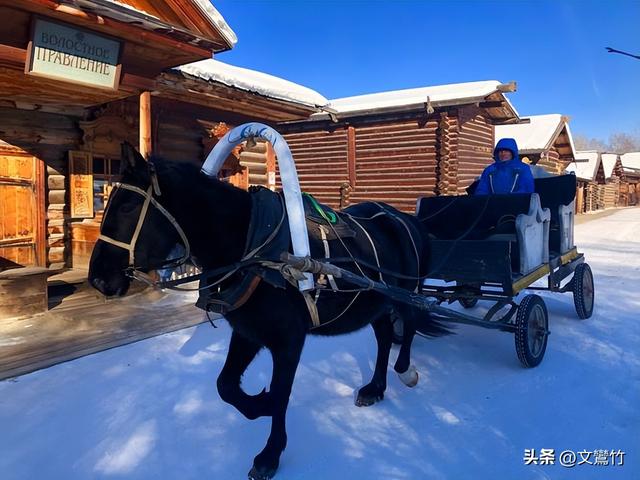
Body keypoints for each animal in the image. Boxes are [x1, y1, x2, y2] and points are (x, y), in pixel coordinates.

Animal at [89, 145, 450, 480]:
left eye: (127, 206)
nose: (98, 279)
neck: (255, 251)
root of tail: (407, 219)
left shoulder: (288, 340)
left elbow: (279, 394)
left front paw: (270, 454)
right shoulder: (248, 332)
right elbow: (225, 385)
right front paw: (257, 407)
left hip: (404, 295)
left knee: (409, 325)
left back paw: (405, 371)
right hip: (375, 303)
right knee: (385, 335)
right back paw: (375, 387)